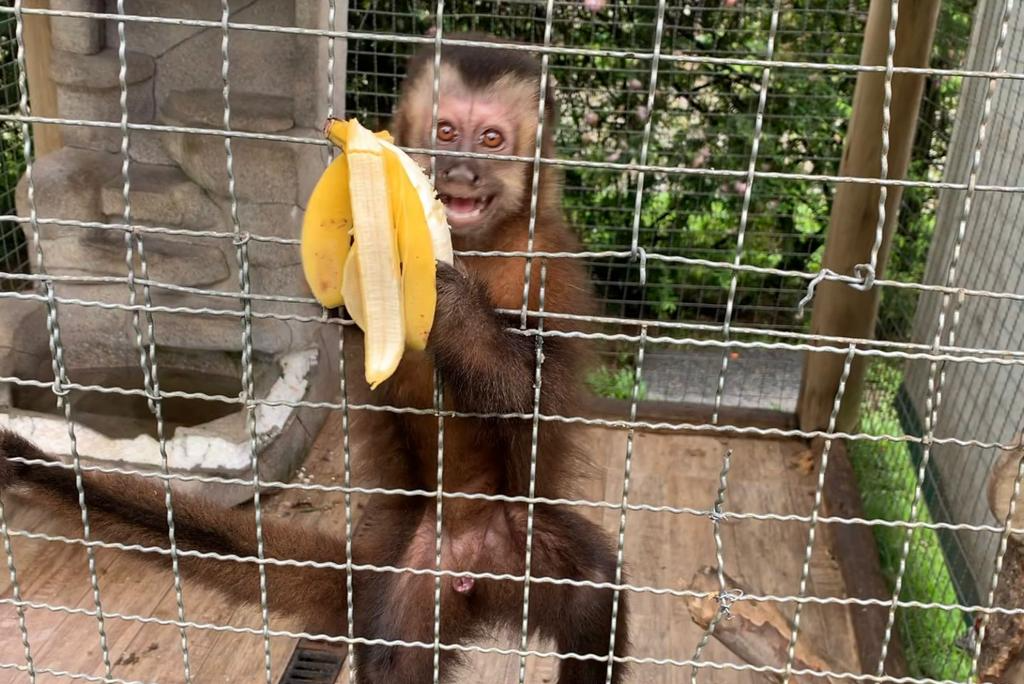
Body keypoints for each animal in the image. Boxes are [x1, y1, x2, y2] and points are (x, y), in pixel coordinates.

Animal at [0, 33, 626, 684]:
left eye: (492, 140)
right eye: (448, 132)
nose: (462, 171)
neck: (473, 246)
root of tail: (474, 568)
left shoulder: (549, 261)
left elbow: (535, 396)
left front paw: (448, 304)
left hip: (516, 543)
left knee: (592, 590)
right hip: (421, 568)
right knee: (396, 660)